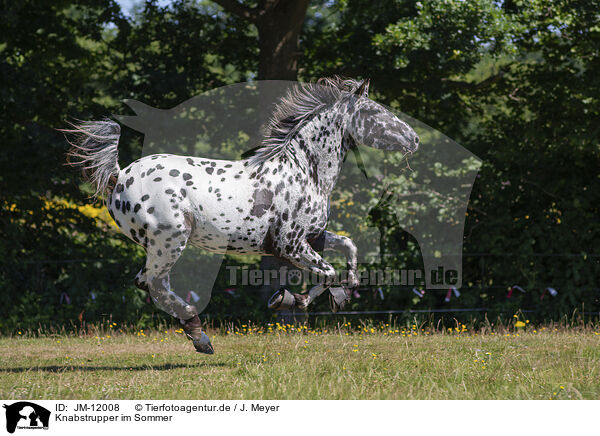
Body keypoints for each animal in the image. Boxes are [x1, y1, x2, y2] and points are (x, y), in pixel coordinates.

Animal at [63, 76, 420, 352]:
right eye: (375, 112)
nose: (414, 139)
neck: (305, 171)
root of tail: (119, 175)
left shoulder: (313, 238)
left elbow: (349, 247)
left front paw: (342, 295)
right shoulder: (290, 245)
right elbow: (329, 272)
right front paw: (290, 300)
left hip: (161, 246)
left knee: (151, 284)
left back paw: (196, 335)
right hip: (171, 241)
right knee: (152, 283)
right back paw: (200, 337)